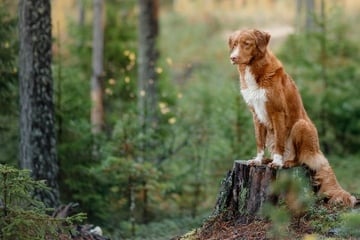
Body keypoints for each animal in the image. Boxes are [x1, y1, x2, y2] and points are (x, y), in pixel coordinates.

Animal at [229, 28, 356, 207]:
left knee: (300, 159)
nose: (233, 57)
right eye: (234, 45)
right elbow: (259, 142)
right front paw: (259, 160)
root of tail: (318, 152)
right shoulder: (256, 115)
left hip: (301, 125)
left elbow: (280, 143)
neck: (255, 69)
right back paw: (268, 160)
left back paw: (286, 162)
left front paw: (277, 162)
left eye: (246, 44)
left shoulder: (277, 112)